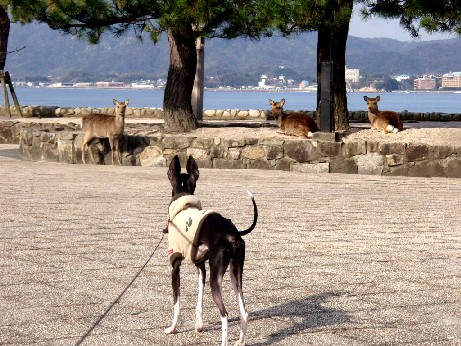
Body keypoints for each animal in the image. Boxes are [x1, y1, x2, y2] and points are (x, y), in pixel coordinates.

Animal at [164, 155, 256, 344]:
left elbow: (176, 303)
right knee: (244, 311)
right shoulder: (201, 266)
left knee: (225, 314)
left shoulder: (175, 265)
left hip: (217, 278)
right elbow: (199, 299)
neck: (183, 203)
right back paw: (241, 341)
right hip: (235, 273)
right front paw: (199, 326)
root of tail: (231, 233)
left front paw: (172, 328)